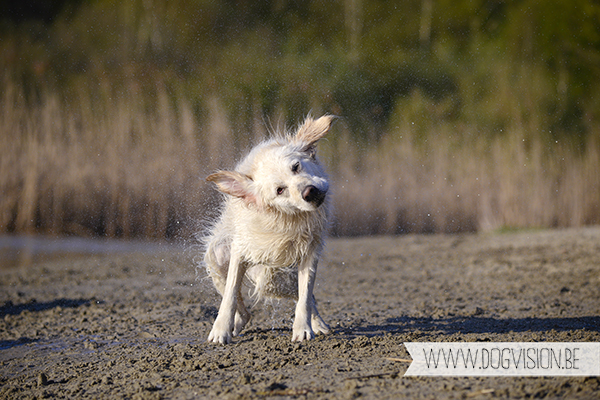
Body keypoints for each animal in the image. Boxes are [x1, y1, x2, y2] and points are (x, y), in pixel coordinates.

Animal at [202, 115, 332, 344]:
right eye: (280, 190)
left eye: (296, 166)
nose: (309, 192)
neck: (287, 219)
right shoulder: (240, 250)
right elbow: (230, 294)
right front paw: (220, 330)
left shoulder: (310, 252)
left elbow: (306, 296)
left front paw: (303, 329)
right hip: (219, 258)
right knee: (244, 310)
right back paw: (235, 325)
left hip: (276, 278)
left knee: (305, 297)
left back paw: (320, 325)